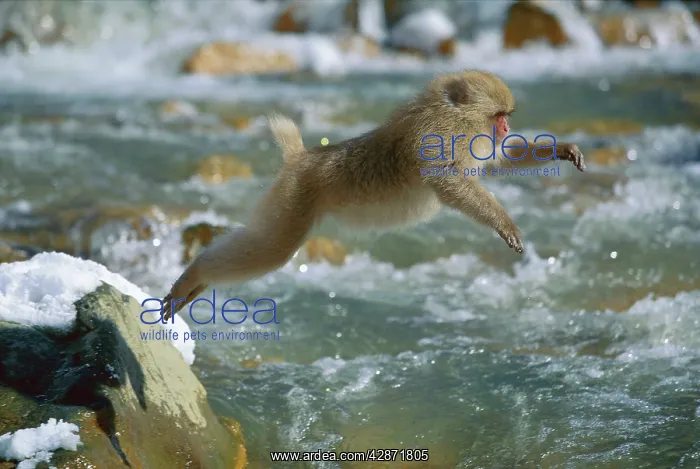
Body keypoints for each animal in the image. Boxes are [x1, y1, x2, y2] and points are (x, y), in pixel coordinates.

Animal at [161, 70, 585, 320]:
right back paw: (195, 274)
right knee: (273, 248)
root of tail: (302, 158)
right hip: (293, 198)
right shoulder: (441, 136)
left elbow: (501, 158)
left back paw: (195, 285)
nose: (505, 128)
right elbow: (449, 184)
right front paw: (504, 223)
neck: (453, 114)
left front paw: (561, 149)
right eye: (499, 116)